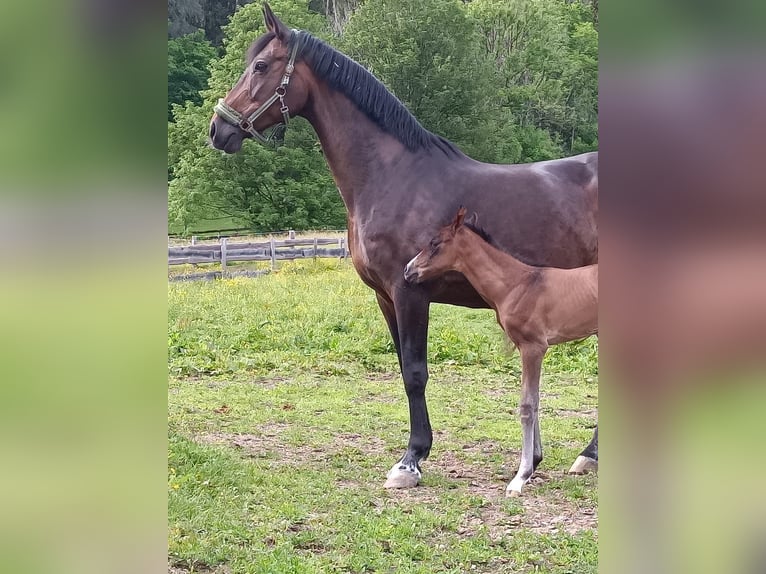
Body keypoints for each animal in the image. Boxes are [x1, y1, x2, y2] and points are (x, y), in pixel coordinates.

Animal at [402, 208, 600, 500]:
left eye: (435, 243)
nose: (408, 270)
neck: (517, 284)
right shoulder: (525, 347)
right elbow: (535, 401)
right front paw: (534, 461)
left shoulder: (534, 347)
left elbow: (527, 406)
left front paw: (521, 477)